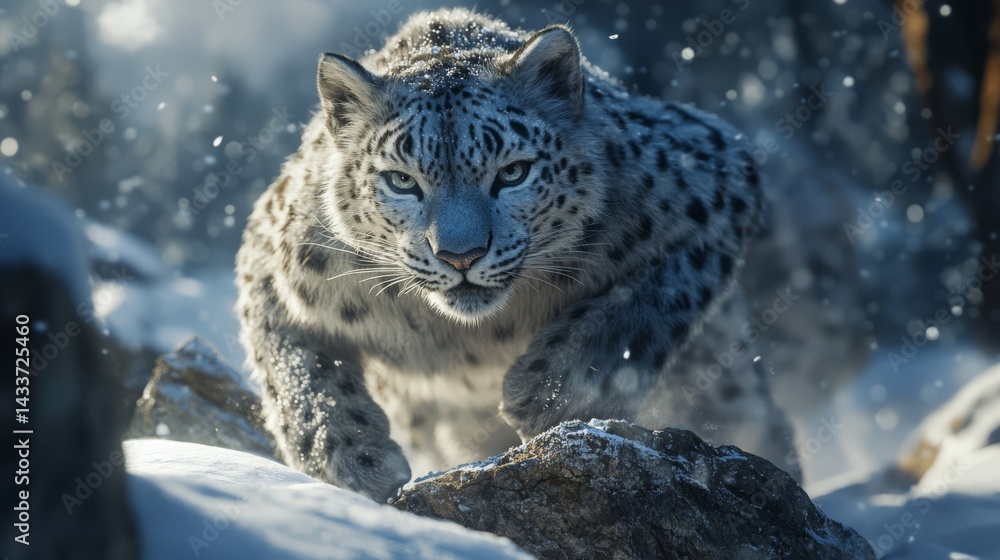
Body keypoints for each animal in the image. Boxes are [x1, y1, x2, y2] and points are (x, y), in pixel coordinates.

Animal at [236, 8, 797, 503]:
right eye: (401, 180)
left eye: (512, 173)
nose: (460, 256)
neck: (476, 338)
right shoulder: (275, 264)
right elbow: (296, 373)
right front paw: (356, 459)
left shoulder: (715, 186)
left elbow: (648, 302)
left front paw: (551, 391)